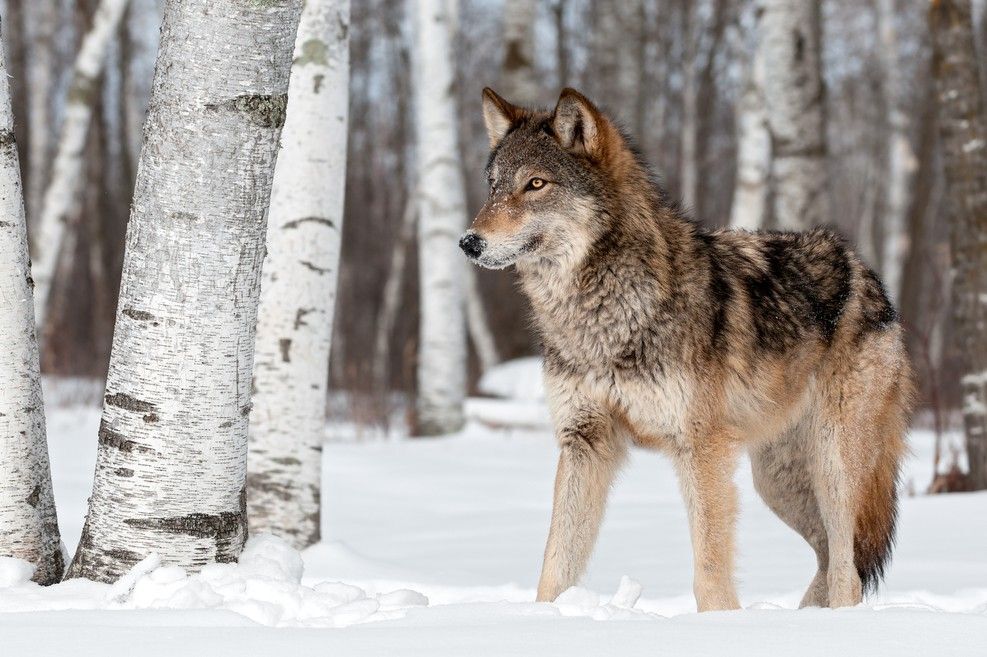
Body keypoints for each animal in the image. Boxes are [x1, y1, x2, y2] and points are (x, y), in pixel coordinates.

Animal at [460, 87, 913, 611]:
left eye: (535, 184)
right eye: (493, 186)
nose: (468, 242)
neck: (604, 315)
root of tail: (866, 270)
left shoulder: (701, 449)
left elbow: (710, 572)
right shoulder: (584, 441)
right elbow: (555, 566)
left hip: (833, 467)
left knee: (846, 569)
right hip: (776, 482)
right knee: (827, 557)